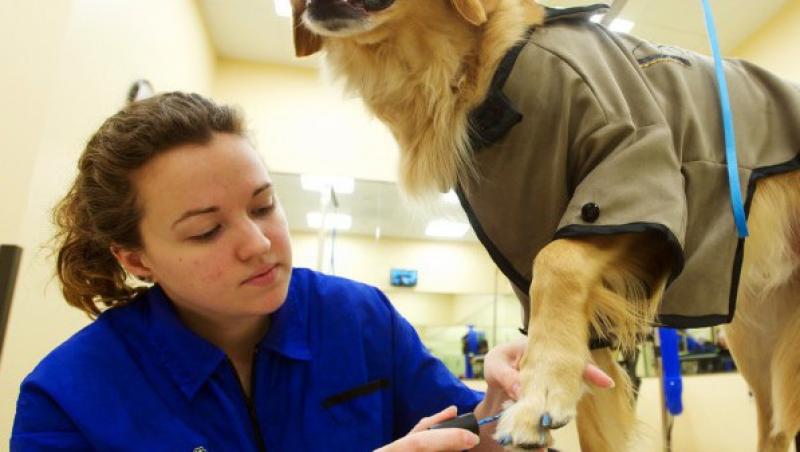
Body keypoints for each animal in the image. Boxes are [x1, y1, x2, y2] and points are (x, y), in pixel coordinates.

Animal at [290, 1, 800, 450]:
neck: (486, 63)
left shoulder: (635, 177)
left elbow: (556, 261)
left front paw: (537, 396)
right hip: (755, 336)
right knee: (774, 427)